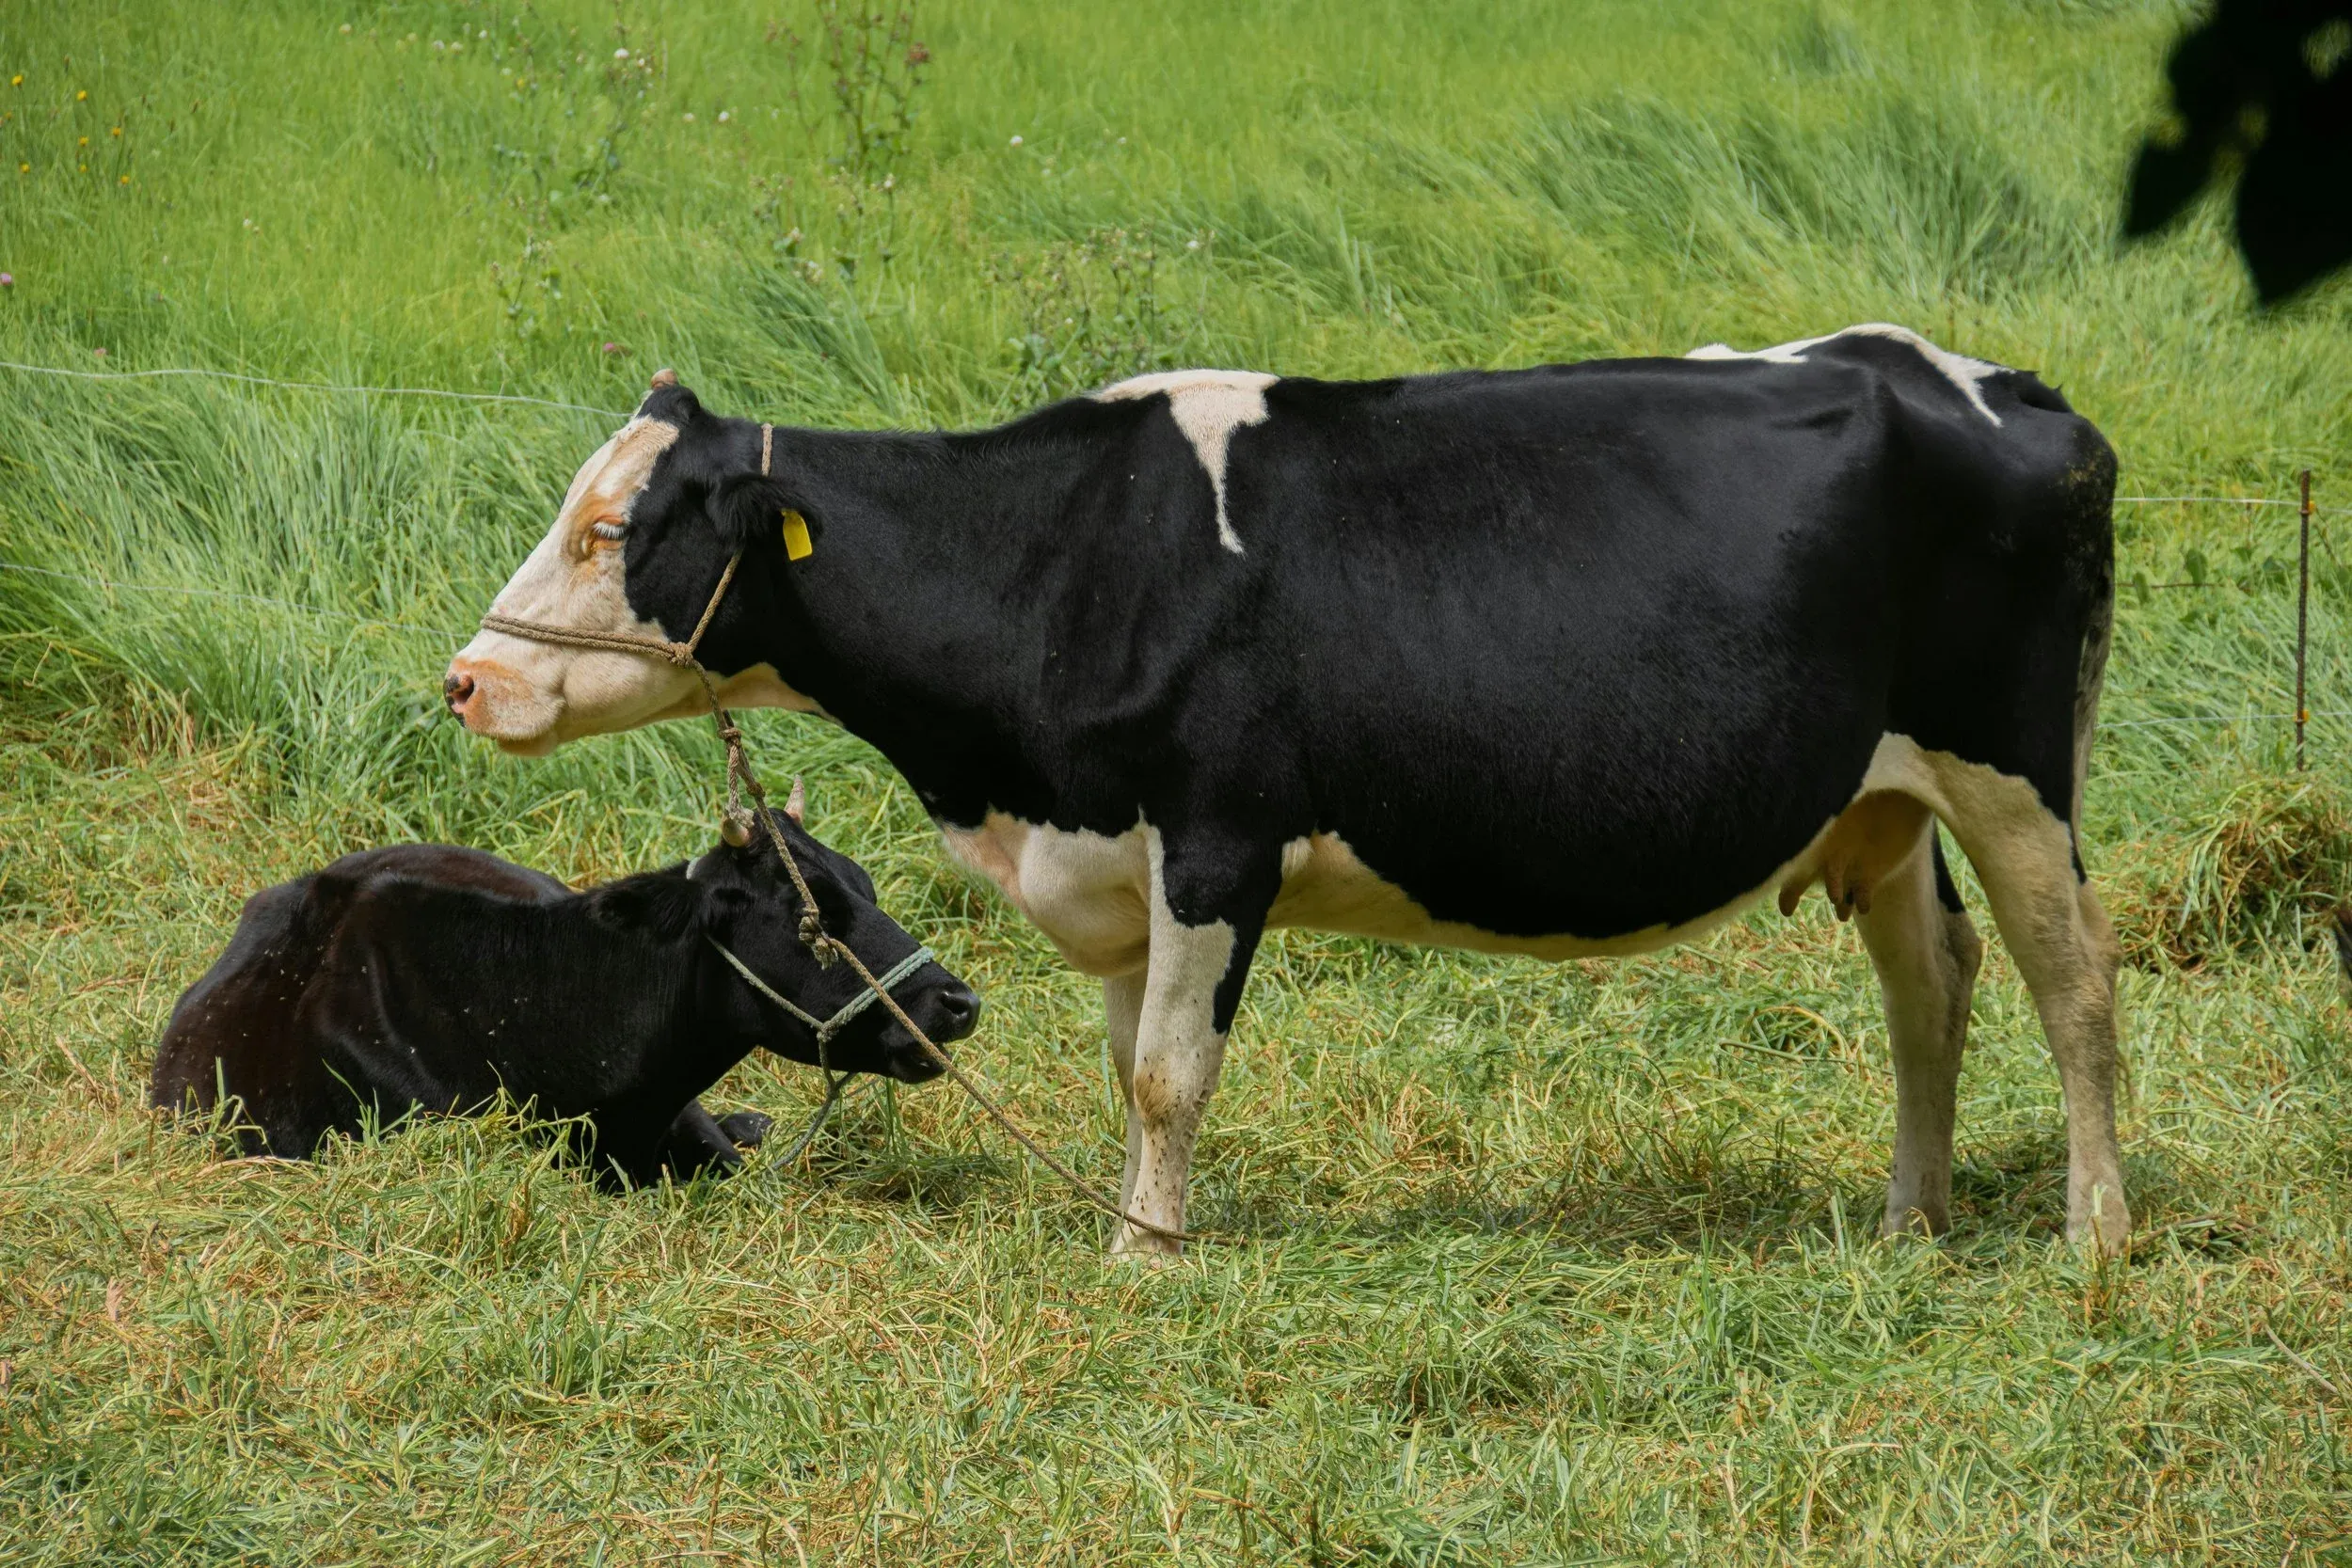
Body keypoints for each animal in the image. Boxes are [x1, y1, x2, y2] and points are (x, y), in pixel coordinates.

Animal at [444, 324, 2128, 1253]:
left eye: (611, 529)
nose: (465, 678)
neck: (1066, 562)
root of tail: (1985, 380)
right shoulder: (1115, 865)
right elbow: (1129, 1065)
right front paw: (1140, 1219)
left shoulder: (1216, 838)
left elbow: (1168, 1074)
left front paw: (1146, 1258)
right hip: (1883, 794)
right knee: (1933, 981)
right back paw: (1911, 1218)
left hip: (2014, 767)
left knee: (2073, 982)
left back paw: (2093, 1232)